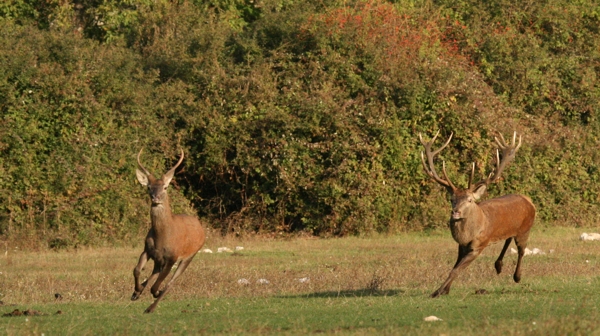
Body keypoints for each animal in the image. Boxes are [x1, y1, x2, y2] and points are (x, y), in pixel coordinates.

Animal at [131, 148, 206, 314]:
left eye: (165, 187)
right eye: (148, 187)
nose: (156, 197)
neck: (162, 237)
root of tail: (201, 227)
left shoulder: (173, 256)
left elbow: (156, 286)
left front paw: (154, 293)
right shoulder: (147, 249)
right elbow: (137, 269)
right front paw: (137, 291)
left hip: (190, 255)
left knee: (171, 282)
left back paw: (151, 307)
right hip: (159, 259)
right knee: (155, 272)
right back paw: (137, 293)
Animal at [418, 130, 540, 298]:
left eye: (469, 200)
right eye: (451, 199)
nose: (455, 212)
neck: (470, 234)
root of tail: (528, 200)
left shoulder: (479, 245)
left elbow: (455, 270)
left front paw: (438, 292)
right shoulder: (462, 246)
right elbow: (454, 267)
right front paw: (444, 290)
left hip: (525, 228)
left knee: (521, 250)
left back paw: (517, 276)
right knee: (508, 238)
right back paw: (498, 265)